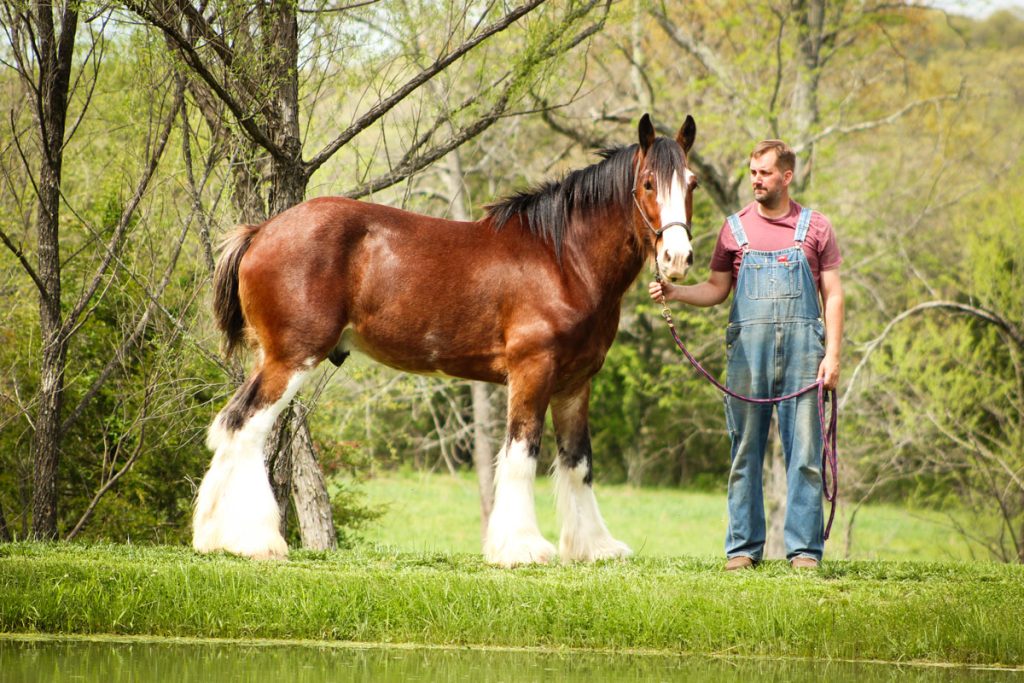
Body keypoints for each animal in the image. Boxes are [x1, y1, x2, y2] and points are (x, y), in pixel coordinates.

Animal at [194, 113, 698, 566]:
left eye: (691, 184)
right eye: (649, 183)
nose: (677, 258)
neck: (563, 259)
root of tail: (261, 231)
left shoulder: (576, 382)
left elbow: (578, 462)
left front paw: (595, 548)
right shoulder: (532, 371)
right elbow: (522, 453)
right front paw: (521, 549)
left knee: (232, 423)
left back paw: (216, 538)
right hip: (290, 358)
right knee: (247, 426)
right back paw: (254, 541)